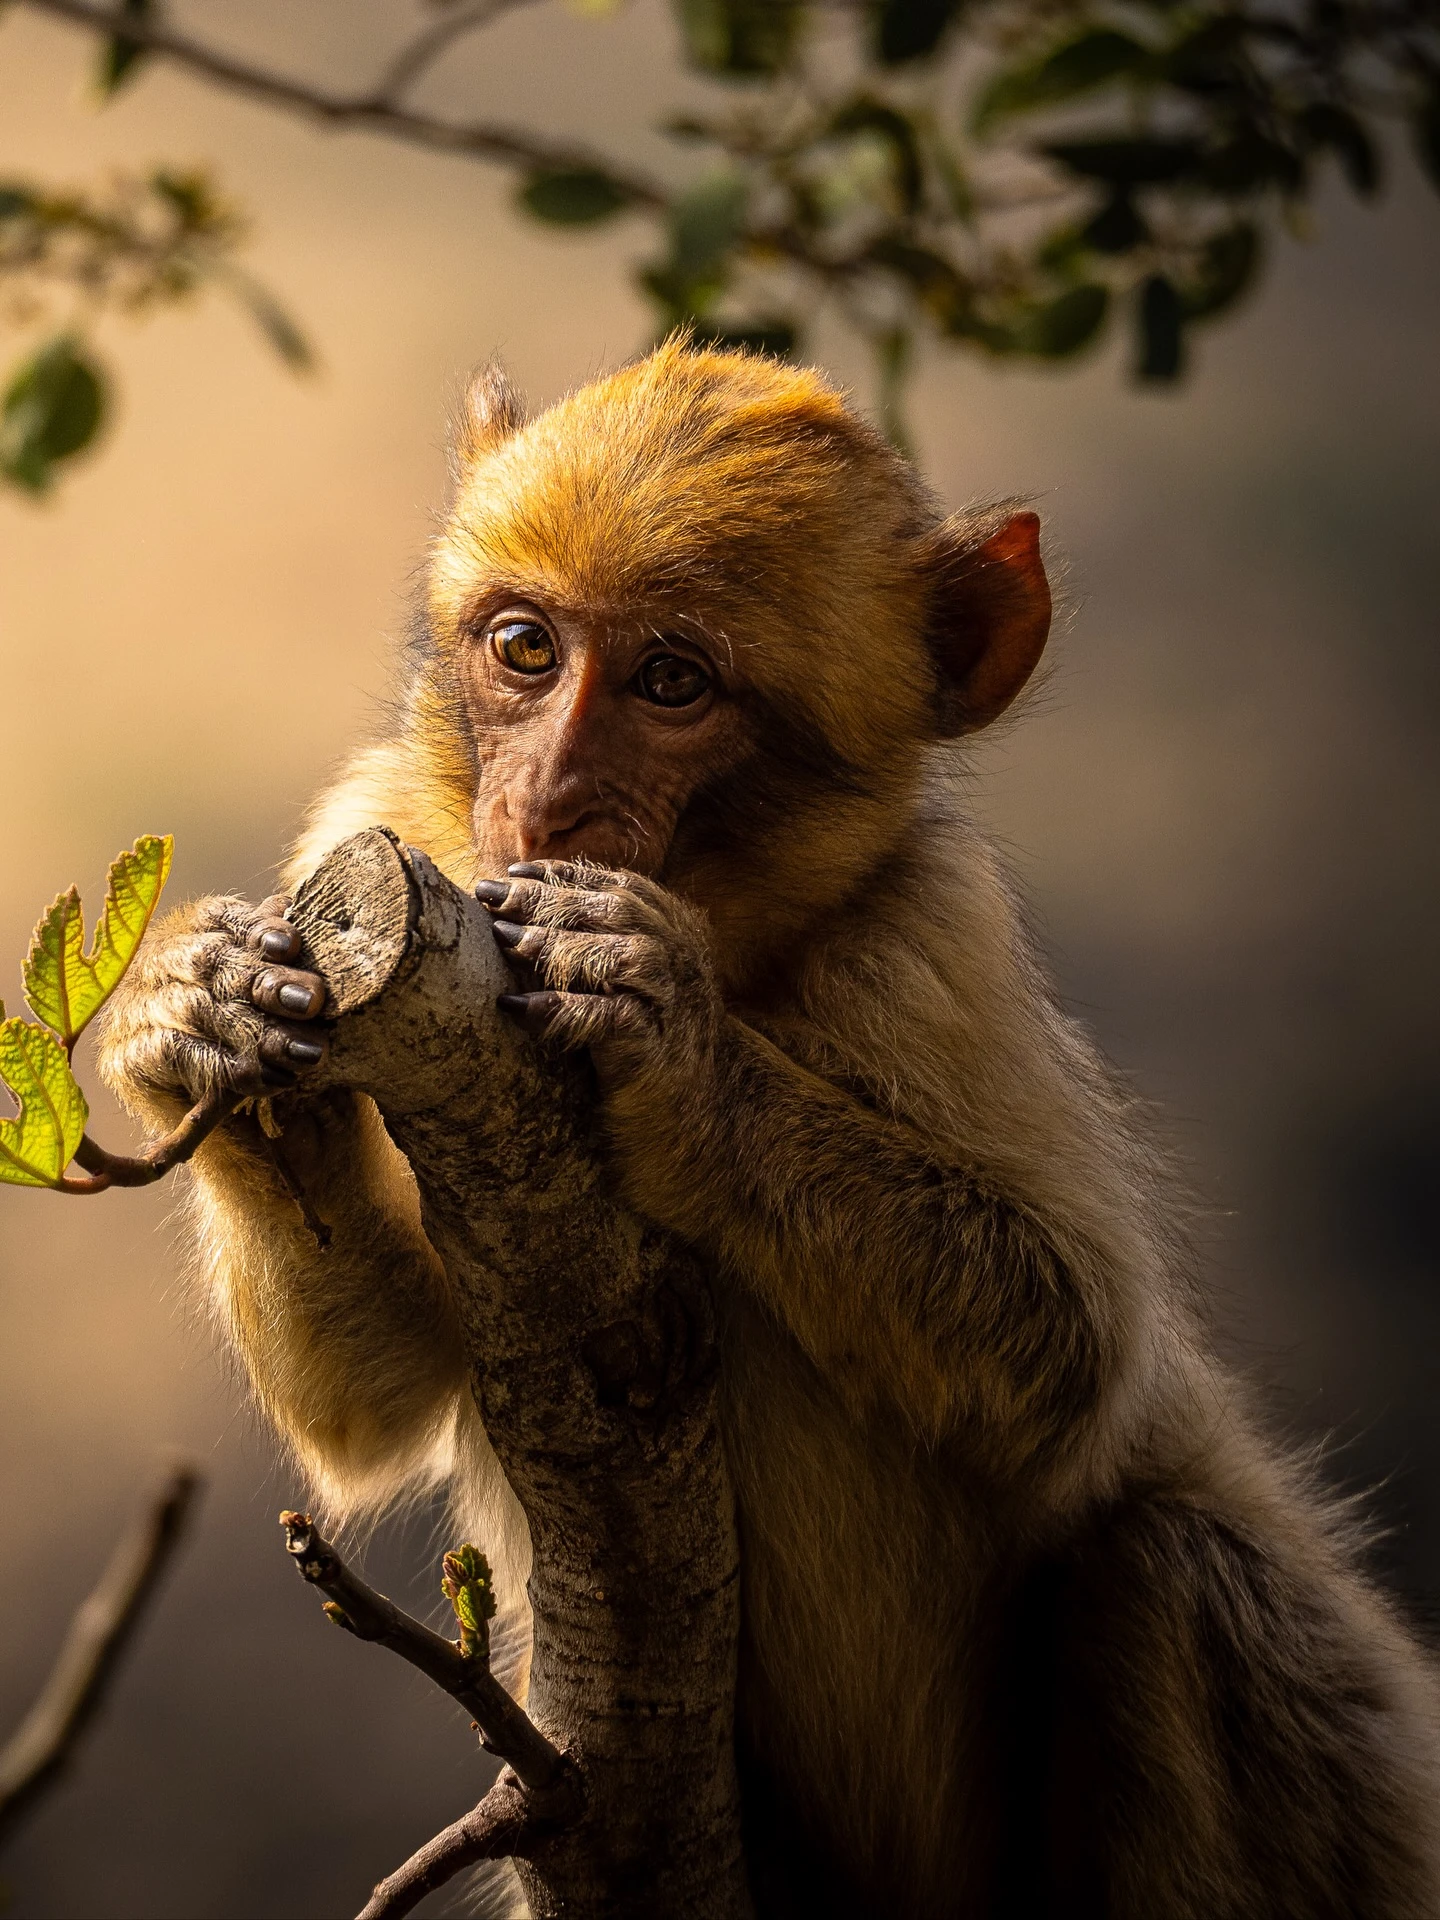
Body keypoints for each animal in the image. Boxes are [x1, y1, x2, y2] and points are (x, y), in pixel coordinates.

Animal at [99, 339, 1440, 1918]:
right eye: (526, 650)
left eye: (672, 682)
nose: (547, 798)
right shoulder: (365, 826)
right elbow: (377, 1404)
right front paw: (203, 1023)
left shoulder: (931, 934)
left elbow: (1075, 1357)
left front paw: (671, 1044)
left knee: (1182, 1570)